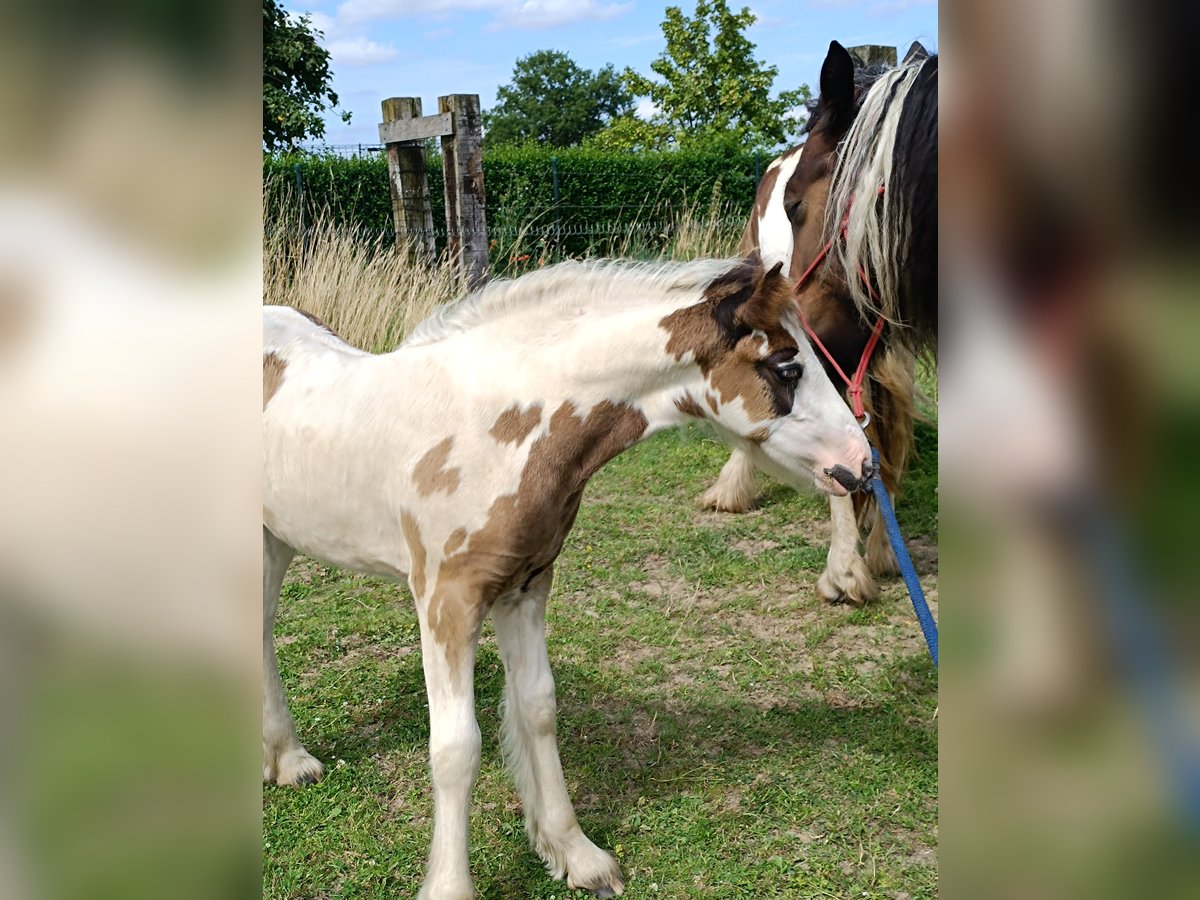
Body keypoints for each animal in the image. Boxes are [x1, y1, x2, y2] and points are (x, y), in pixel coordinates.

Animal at [262, 255, 868, 900]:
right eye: (788, 367)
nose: (862, 465)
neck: (497, 425)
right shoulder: (446, 599)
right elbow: (456, 748)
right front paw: (452, 884)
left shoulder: (526, 587)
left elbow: (538, 708)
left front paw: (576, 855)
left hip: (276, 539)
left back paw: (288, 760)